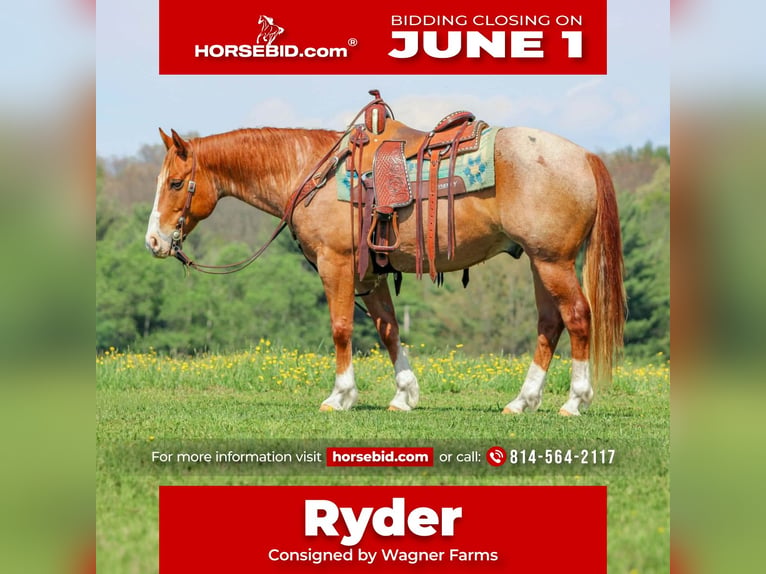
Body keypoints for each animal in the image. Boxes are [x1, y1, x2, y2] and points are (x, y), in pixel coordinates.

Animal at [145, 101, 625, 416]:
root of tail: (584, 155)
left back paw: (574, 400)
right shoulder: (371, 275)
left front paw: (340, 396)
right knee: (550, 324)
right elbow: (388, 330)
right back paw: (522, 401)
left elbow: (341, 329)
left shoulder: (336, 264)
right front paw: (404, 395)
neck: (310, 173)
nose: (153, 241)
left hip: (552, 261)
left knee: (577, 317)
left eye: (175, 183)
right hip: (539, 262)